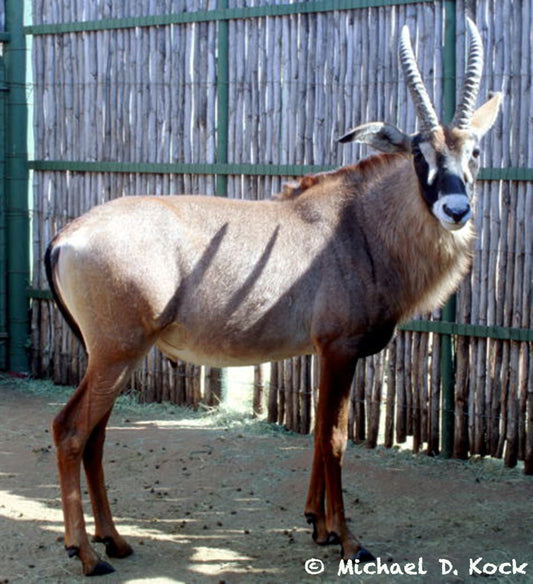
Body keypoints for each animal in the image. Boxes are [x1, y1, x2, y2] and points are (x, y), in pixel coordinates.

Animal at [45, 18, 498, 576]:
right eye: (419, 153)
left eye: (473, 150)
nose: (456, 209)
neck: (358, 224)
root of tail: (66, 237)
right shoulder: (340, 349)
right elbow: (335, 438)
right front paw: (350, 542)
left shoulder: (323, 353)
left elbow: (319, 434)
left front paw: (319, 527)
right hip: (115, 353)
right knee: (70, 430)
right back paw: (86, 553)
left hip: (113, 357)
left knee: (96, 437)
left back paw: (115, 540)